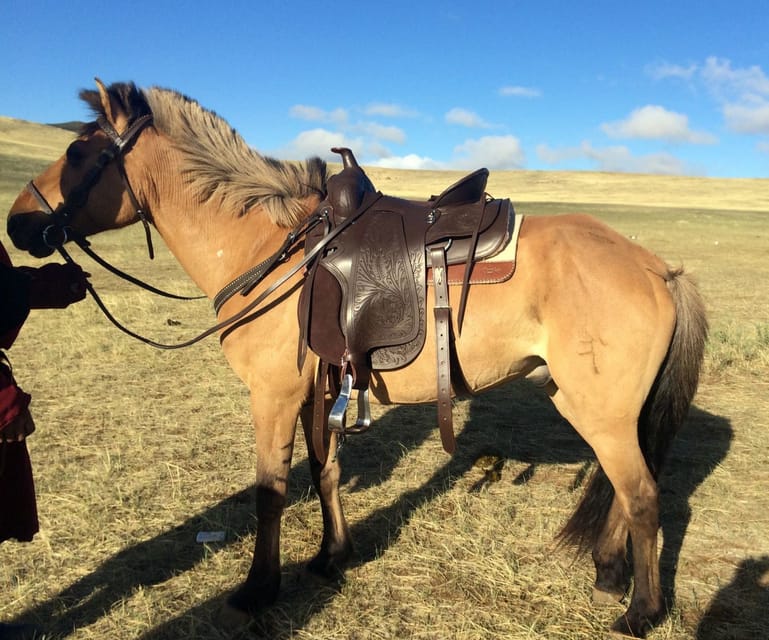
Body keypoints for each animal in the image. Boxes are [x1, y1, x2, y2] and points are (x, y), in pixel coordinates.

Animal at [6, 80, 707, 638]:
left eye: (79, 152)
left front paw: (258, 590)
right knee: (622, 490)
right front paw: (331, 555)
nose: (16, 225)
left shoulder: (273, 395)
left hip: (600, 410)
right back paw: (609, 571)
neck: (273, 249)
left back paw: (640, 611)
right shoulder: (319, 390)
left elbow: (269, 492)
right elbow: (326, 474)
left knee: (642, 495)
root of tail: (658, 268)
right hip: (597, 406)